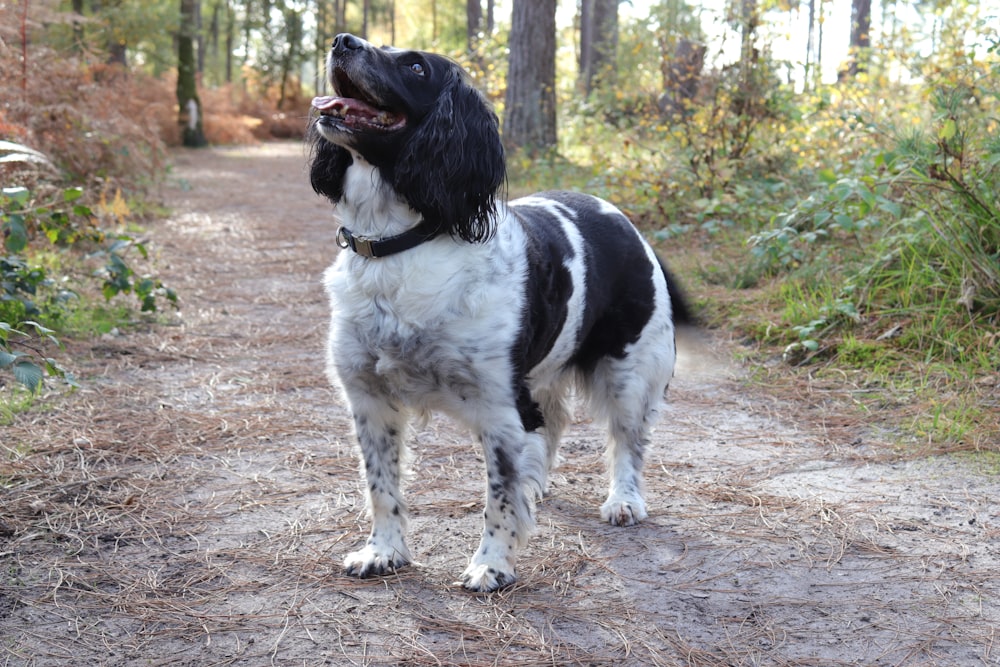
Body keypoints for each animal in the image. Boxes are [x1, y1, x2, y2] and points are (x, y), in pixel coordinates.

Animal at [308, 32, 692, 596]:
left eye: (416, 67)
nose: (341, 40)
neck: (401, 242)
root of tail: (622, 218)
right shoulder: (370, 401)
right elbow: (382, 487)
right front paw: (384, 552)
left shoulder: (499, 408)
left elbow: (501, 498)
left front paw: (491, 565)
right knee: (555, 422)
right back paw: (544, 484)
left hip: (630, 373)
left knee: (628, 441)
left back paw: (624, 500)